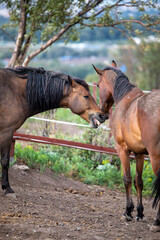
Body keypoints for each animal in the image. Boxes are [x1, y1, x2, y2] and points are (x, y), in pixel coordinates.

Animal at [0, 65, 105, 195]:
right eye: (86, 96)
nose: (102, 116)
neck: (16, 93)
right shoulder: (7, 132)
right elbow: (5, 161)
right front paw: (7, 188)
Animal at [93, 61, 160, 232]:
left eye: (98, 84)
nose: (102, 115)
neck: (126, 99)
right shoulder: (139, 153)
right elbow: (139, 181)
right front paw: (140, 213)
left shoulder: (122, 149)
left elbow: (127, 179)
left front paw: (128, 212)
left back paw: (157, 222)